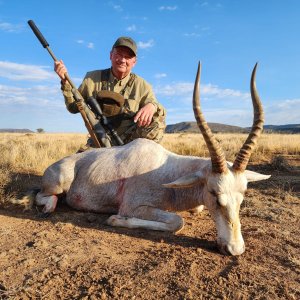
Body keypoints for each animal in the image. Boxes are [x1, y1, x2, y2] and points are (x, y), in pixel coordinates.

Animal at [32, 63, 270, 255]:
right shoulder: (135, 206)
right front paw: (116, 219)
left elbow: (195, 209)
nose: (235, 249)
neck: (167, 172)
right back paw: (49, 206)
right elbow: (177, 221)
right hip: (59, 182)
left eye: (243, 195)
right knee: (43, 196)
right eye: (214, 193)